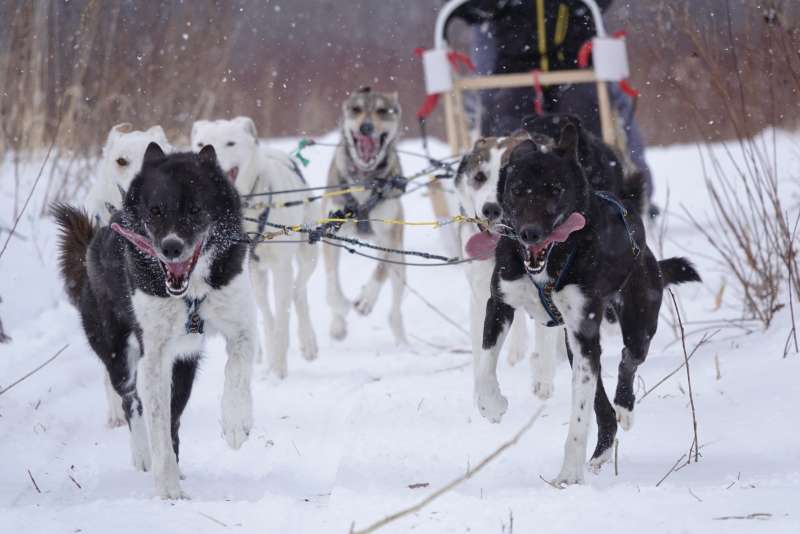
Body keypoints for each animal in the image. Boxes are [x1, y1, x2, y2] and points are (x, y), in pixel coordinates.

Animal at [52, 144, 256, 500]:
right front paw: (167, 487)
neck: (191, 293)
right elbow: (156, 423)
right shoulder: (154, 358)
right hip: (117, 355)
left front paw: (235, 422)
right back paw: (143, 454)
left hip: (185, 368)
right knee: (132, 403)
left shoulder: (242, 328)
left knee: (173, 416)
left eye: (195, 209)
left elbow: (236, 370)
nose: (171, 247)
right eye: (156, 210)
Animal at [192, 117, 320, 378]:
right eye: (200, 143)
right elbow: (268, 318)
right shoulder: (249, 272)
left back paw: (307, 340)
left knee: (298, 292)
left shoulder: (282, 268)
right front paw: (271, 356)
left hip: (309, 253)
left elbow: (282, 317)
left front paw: (279, 368)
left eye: (230, 143)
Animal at [476, 121, 700, 486]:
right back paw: (602, 452)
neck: (551, 263)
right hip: (575, 348)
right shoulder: (500, 304)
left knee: (627, 362)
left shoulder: (583, 330)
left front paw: (568, 476)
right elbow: (484, 366)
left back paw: (624, 408)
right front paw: (491, 405)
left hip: (634, 326)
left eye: (555, 189)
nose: (529, 233)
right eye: (518, 190)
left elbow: (579, 420)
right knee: (602, 408)